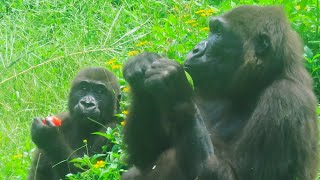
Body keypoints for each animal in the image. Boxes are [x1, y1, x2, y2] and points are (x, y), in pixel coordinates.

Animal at [122, 5, 318, 180]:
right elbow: (147, 157)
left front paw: (175, 90)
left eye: (218, 32)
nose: (196, 49)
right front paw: (140, 70)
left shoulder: (285, 98)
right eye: (212, 30)